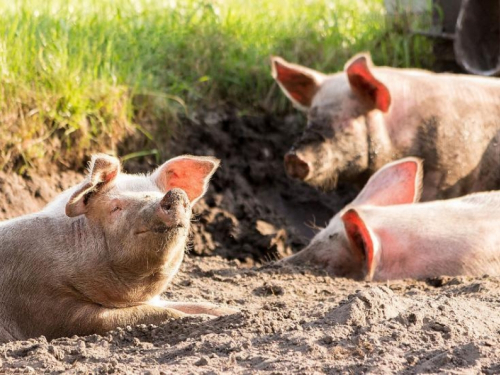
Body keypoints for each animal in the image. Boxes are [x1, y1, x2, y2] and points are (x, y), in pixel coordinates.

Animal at [0, 153, 236, 344]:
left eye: (158, 192)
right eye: (116, 207)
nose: (175, 194)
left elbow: (194, 304)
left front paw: (233, 312)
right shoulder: (49, 307)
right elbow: (152, 313)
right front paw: (204, 319)